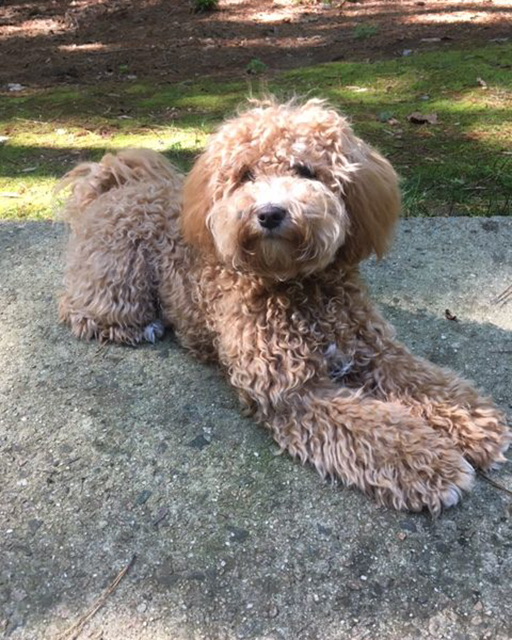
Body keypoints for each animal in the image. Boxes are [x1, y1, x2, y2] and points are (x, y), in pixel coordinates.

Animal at [59, 97, 508, 512]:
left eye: (306, 170)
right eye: (245, 175)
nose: (270, 212)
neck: (297, 285)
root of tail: (115, 186)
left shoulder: (374, 349)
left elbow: (424, 380)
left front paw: (474, 422)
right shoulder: (292, 392)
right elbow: (376, 428)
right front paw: (428, 462)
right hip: (119, 277)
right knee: (84, 310)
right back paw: (139, 326)